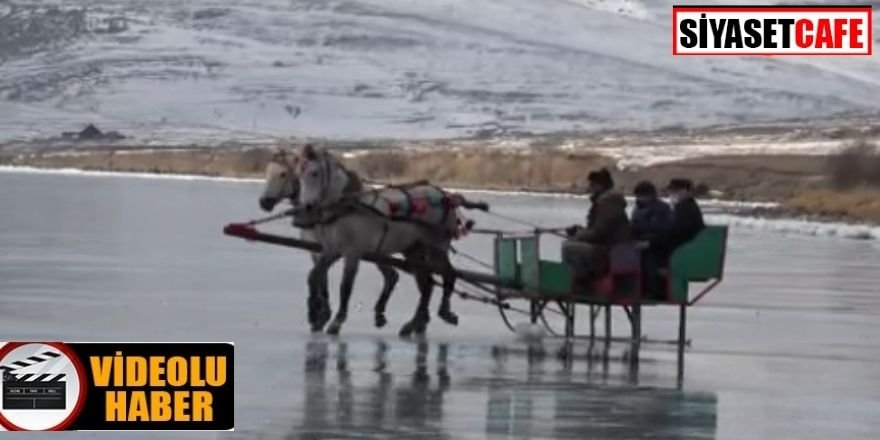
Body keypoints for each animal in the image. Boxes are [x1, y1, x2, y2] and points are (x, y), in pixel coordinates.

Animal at [260, 148, 400, 330]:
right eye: (267, 172)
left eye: (283, 174)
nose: (263, 202)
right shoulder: (317, 251)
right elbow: (320, 278)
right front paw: (321, 314)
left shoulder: (340, 251)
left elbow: (333, 282)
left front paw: (321, 315)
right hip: (379, 253)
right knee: (391, 276)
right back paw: (379, 314)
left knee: (392, 276)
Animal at [294, 144, 482, 336]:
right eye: (299, 173)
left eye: (315, 173)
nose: (307, 206)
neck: (346, 208)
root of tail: (444, 195)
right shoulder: (331, 250)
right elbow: (314, 276)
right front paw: (314, 313)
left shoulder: (352, 253)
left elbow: (345, 287)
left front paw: (336, 321)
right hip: (414, 250)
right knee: (426, 284)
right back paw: (414, 323)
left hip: (437, 246)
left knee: (448, 275)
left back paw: (444, 312)